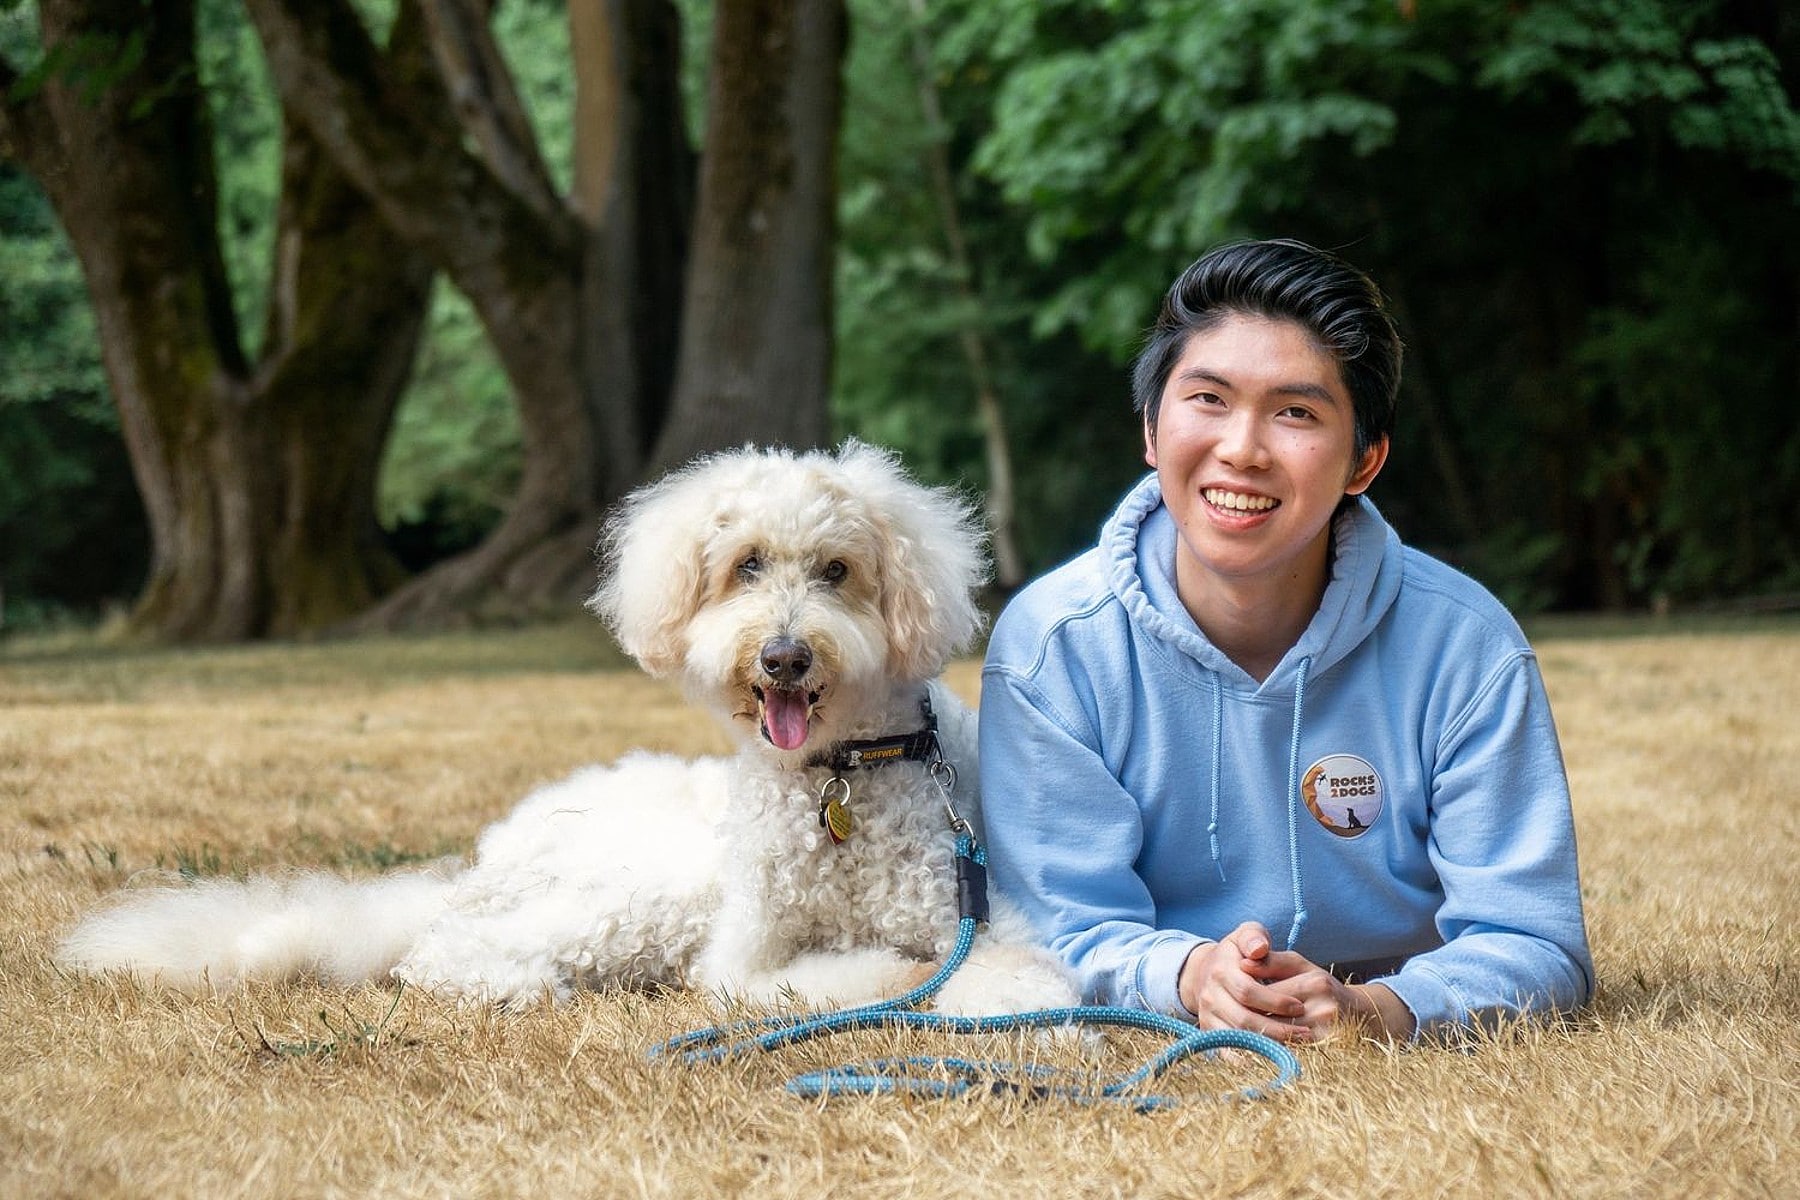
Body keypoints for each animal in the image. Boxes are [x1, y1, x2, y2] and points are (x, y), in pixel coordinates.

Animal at [56, 446, 1072, 1021]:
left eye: (838, 571)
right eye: (746, 566)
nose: (784, 657)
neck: (839, 779)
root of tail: (489, 855)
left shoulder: (984, 919)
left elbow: (1003, 975)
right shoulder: (741, 955)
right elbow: (823, 976)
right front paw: (879, 972)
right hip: (643, 893)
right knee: (441, 955)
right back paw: (514, 986)